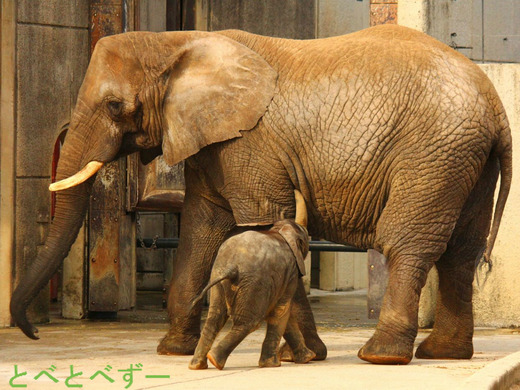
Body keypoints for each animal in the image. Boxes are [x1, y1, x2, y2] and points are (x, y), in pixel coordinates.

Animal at [189, 190, 314, 370]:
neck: (279, 231)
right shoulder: (290, 272)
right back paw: (214, 360)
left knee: (214, 318)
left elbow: (284, 313)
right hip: (254, 283)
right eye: (305, 241)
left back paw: (197, 365)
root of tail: (231, 267)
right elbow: (281, 310)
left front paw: (308, 358)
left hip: (218, 276)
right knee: (249, 322)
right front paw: (274, 364)